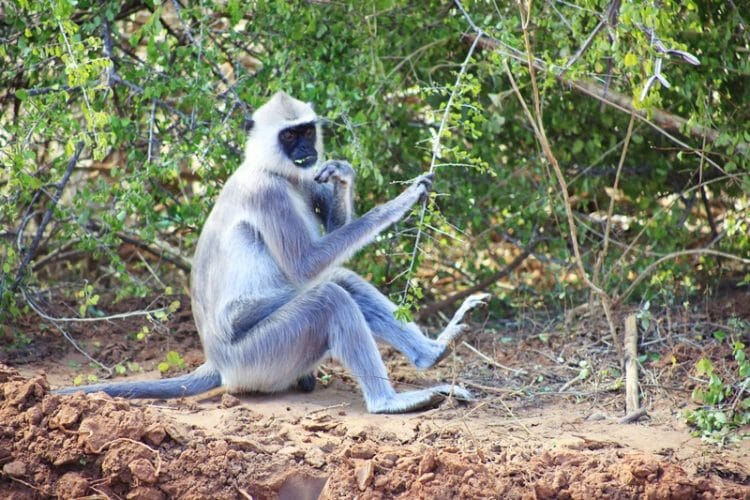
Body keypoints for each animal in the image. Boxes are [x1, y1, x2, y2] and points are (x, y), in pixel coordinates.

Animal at [58, 92, 494, 412]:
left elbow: (329, 243)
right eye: (287, 137)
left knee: (341, 279)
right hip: (258, 357)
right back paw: (388, 403)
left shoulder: (307, 178)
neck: (272, 170)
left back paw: (434, 353)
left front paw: (343, 176)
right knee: (329, 296)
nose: (304, 149)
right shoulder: (267, 194)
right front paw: (399, 203)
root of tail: (218, 362)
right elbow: (306, 266)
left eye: (306, 131)